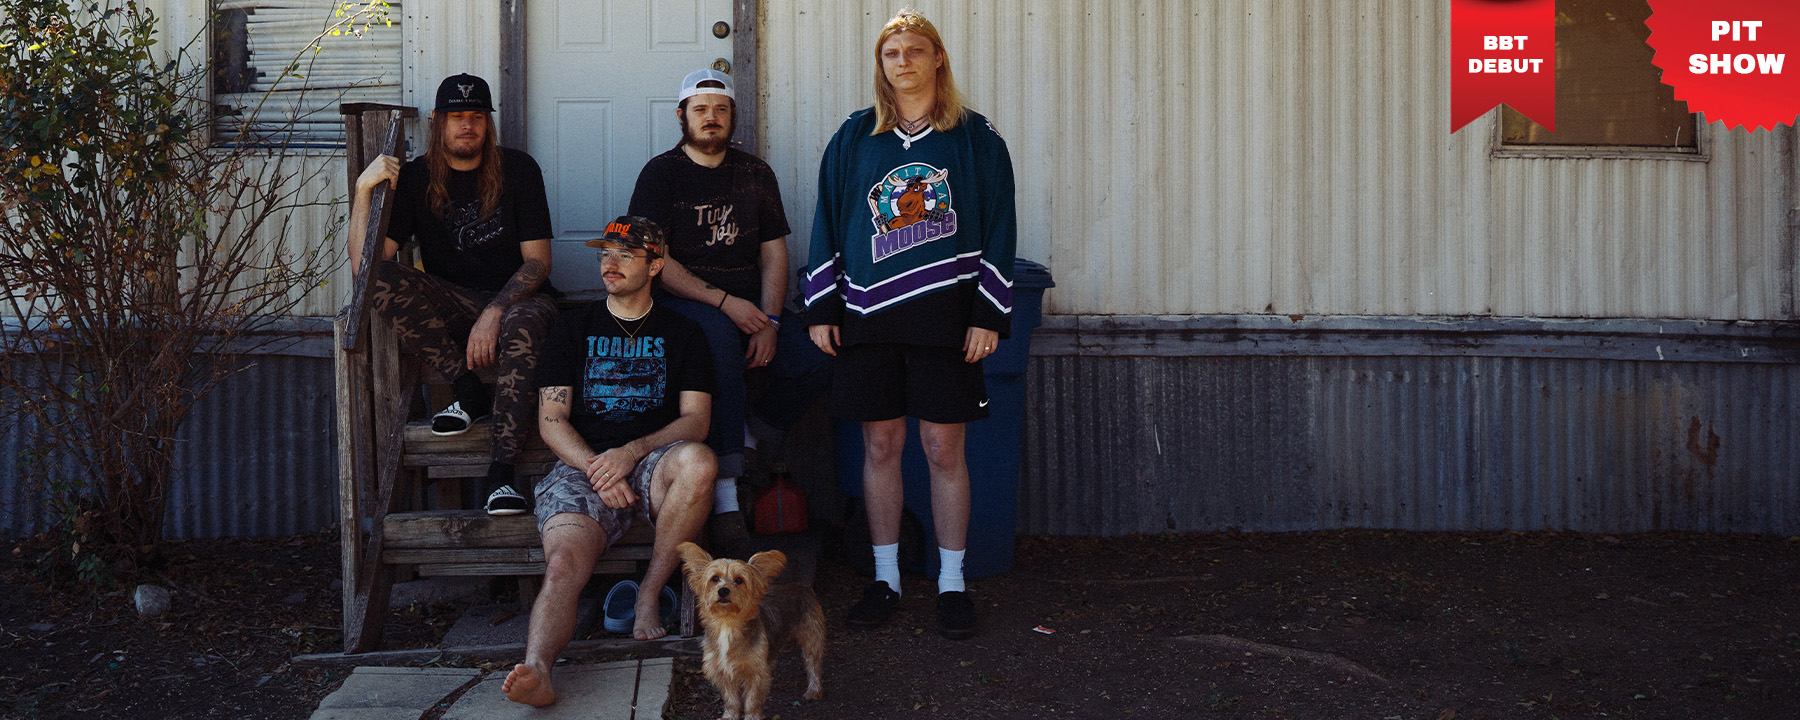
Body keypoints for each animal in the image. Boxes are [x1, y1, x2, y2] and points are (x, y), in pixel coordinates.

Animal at [677, 542, 825, 720]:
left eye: (739, 580)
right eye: (715, 578)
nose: (723, 590)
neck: (728, 622)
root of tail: (802, 586)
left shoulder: (756, 673)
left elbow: (752, 700)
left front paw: (752, 716)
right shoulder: (723, 671)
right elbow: (731, 699)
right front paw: (730, 716)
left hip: (812, 640)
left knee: (813, 666)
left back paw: (814, 691)